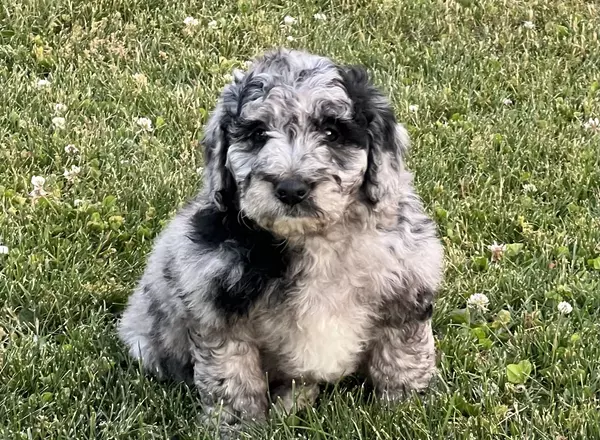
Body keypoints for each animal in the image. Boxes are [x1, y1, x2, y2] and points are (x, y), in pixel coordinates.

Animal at [118, 49, 446, 424]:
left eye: (332, 132)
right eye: (258, 133)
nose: (291, 189)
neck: (316, 239)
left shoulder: (406, 287)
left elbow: (403, 354)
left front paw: (407, 410)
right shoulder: (218, 306)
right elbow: (232, 376)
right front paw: (239, 425)